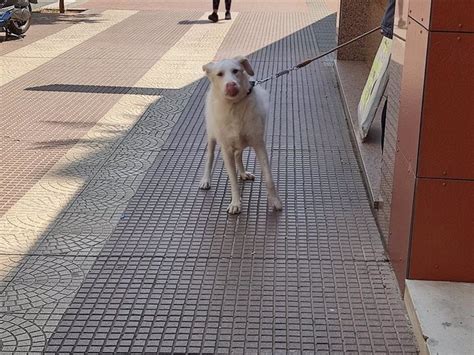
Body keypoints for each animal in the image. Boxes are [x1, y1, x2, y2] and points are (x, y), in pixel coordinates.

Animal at [199, 57, 282, 216]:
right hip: (212, 135)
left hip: (240, 141)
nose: (231, 85)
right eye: (220, 74)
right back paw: (206, 179)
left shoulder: (258, 143)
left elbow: (269, 177)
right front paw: (236, 203)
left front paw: (275, 201)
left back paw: (243, 173)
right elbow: (233, 181)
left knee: (238, 155)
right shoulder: (226, 150)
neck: (234, 106)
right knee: (210, 157)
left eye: (235, 71)